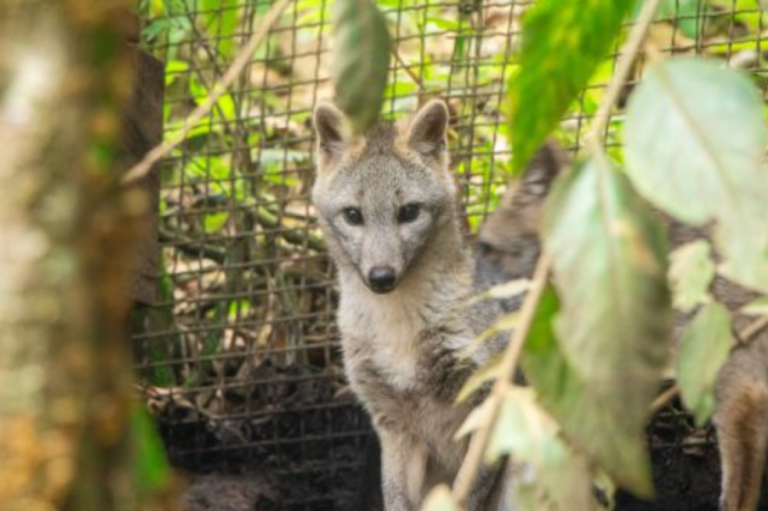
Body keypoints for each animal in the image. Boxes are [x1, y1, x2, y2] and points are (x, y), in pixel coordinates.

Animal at [311, 99, 516, 511]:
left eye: (408, 212)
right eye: (353, 215)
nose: (381, 276)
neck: (398, 326)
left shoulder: (487, 406)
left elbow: (466, 495)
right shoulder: (395, 426)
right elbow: (396, 497)